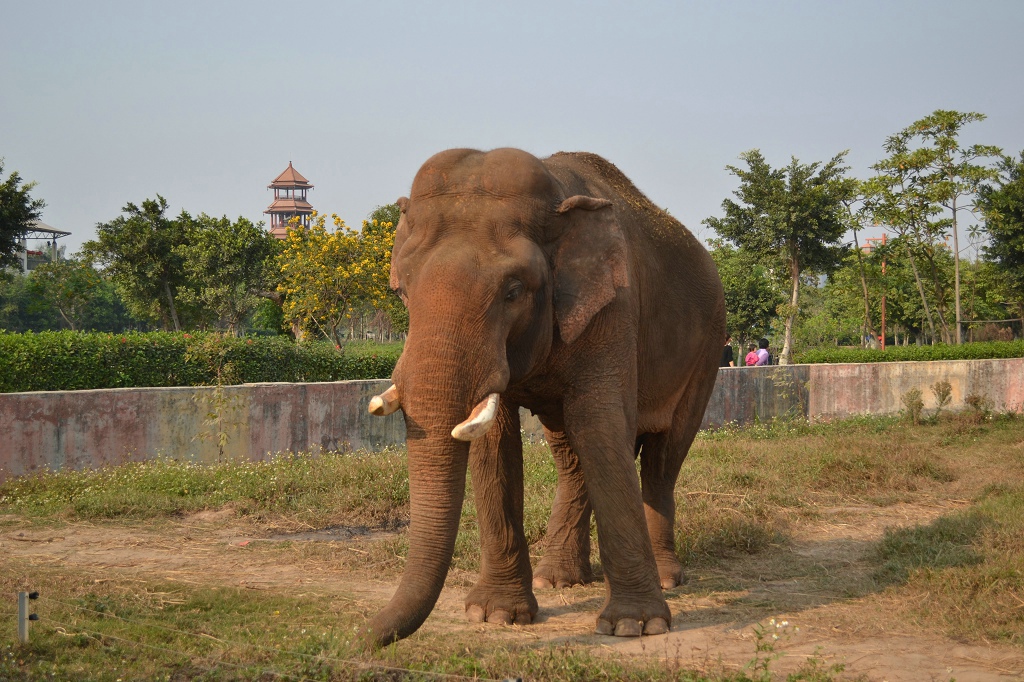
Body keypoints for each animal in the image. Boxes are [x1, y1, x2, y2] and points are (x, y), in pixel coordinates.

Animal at [364, 147, 724, 643]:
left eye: (513, 291)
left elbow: (601, 425)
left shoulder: (614, 306)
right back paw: (559, 579)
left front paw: (635, 625)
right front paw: (494, 615)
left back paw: (668, 579)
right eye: (401, 292)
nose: (360, 635)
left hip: (708, 348)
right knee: (571, 454)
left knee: (663, 456)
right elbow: (496, 444)